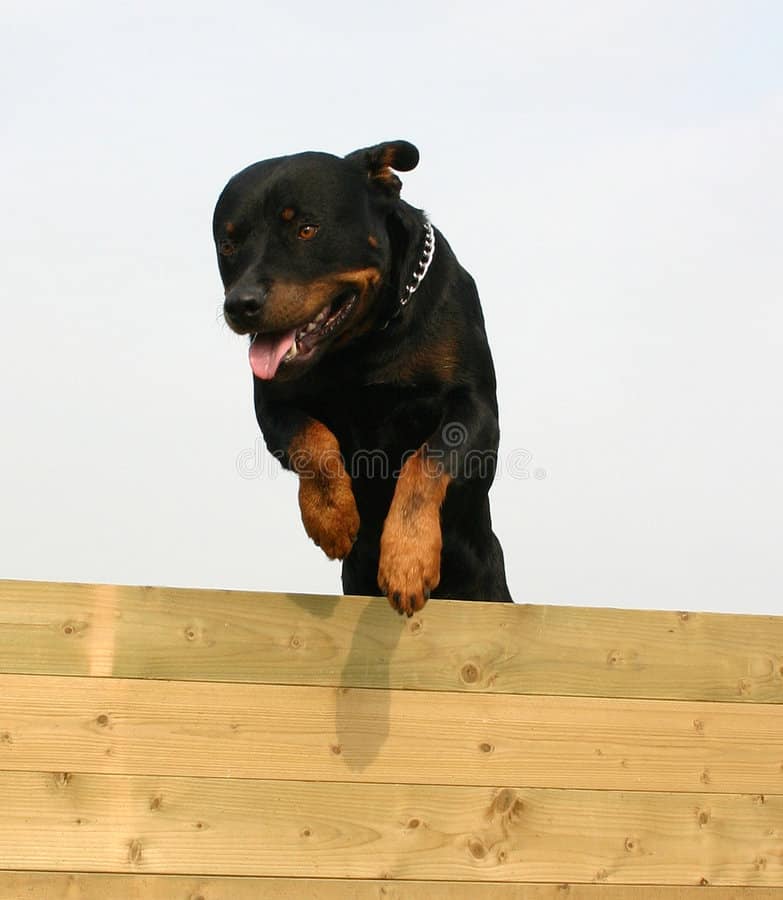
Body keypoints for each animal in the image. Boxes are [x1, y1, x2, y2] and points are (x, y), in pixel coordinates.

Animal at [214, 141, 512, 616]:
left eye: (307, 230)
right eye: (227, 244)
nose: (240, 304)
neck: (365, 342)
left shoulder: (474, 407)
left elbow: (427, 459)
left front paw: (407, 561)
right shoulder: (273, 405)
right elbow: (312, 441)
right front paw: (332, 519)